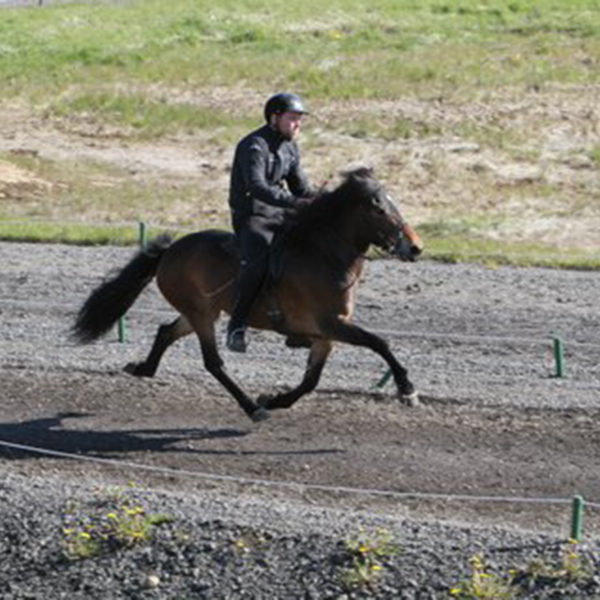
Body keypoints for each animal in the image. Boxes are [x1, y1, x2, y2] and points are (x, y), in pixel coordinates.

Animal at [72, 166, 424, 424]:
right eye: (378, 209)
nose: (416, 247)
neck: (324, 256)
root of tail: (170, 251)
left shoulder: (326, 335)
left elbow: (311, 380)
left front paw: (276, 398)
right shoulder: (332, 324)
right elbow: (379, 343)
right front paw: (407, 389)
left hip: (201, 311)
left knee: (166, 332)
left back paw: (144, 369)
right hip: (202, 315)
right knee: (213, 363)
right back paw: (251, 408)